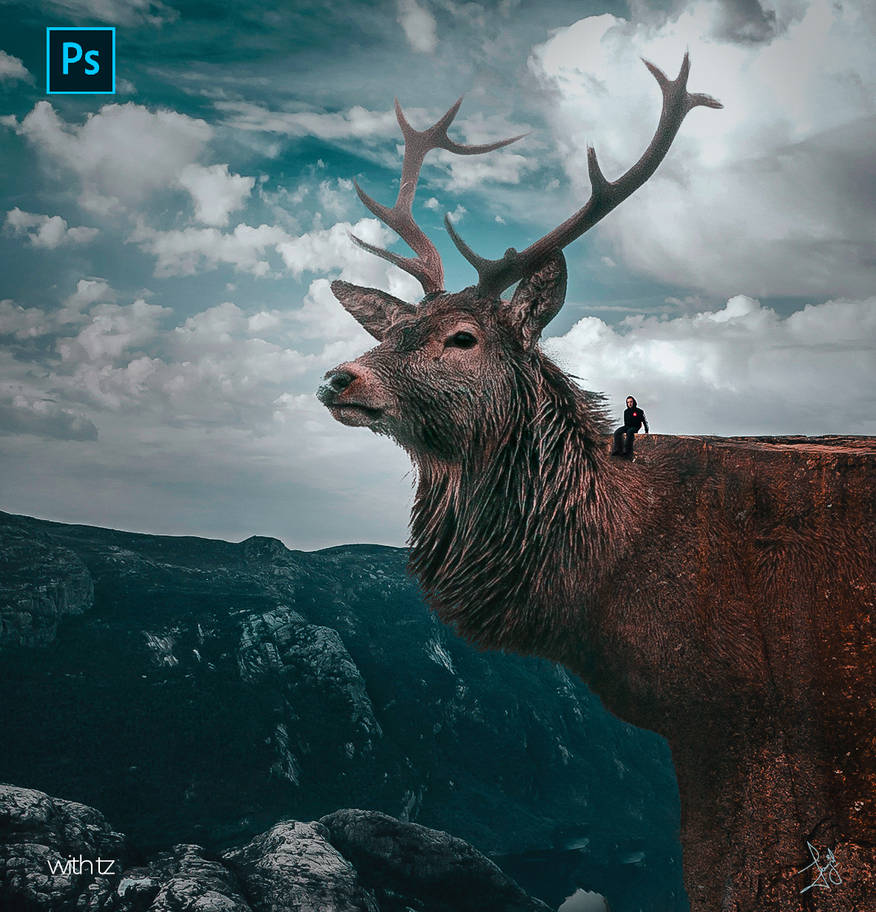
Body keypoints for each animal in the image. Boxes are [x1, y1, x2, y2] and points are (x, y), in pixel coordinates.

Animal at [316, 56, 875, 912]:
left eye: (462, 337)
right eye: (392, 329)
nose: (338, 377)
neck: (600, 580)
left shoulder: (747, 714)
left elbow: (743, 876)